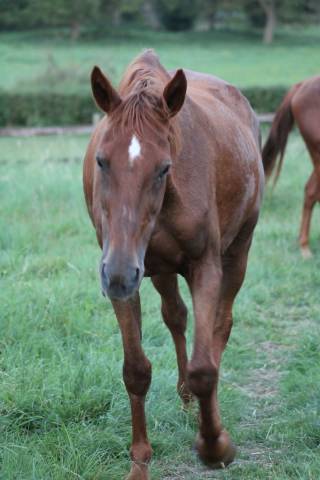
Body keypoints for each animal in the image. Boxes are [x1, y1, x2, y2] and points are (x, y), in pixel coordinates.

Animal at [82, 50, 262, 478]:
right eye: (101, 161)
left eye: (164, 167)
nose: (117, 275)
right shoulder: (125, 270)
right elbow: (136, 369)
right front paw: (139, 463)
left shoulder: (205, 267)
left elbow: (204, 367)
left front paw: (216, 446)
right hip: (157, 270)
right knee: (176, 315)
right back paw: (185, 398)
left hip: (238, 252)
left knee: (219, 328)